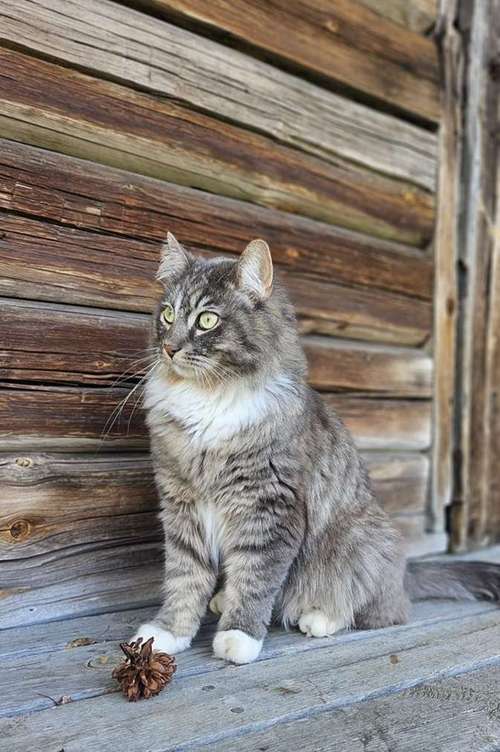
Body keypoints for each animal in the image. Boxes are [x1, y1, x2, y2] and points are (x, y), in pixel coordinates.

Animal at [133, 232, 500, 664]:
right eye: (167, 315)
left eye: (207, 320)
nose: (169, 349)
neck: (208, 400)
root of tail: (404, 573)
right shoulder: (182, 505)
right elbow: (184, 578)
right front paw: (167, 633)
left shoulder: (271, 507)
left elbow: (255, 580)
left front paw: (239, 636)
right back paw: (223, 598)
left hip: (359, 541)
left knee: (377, 609)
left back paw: (319, 617)